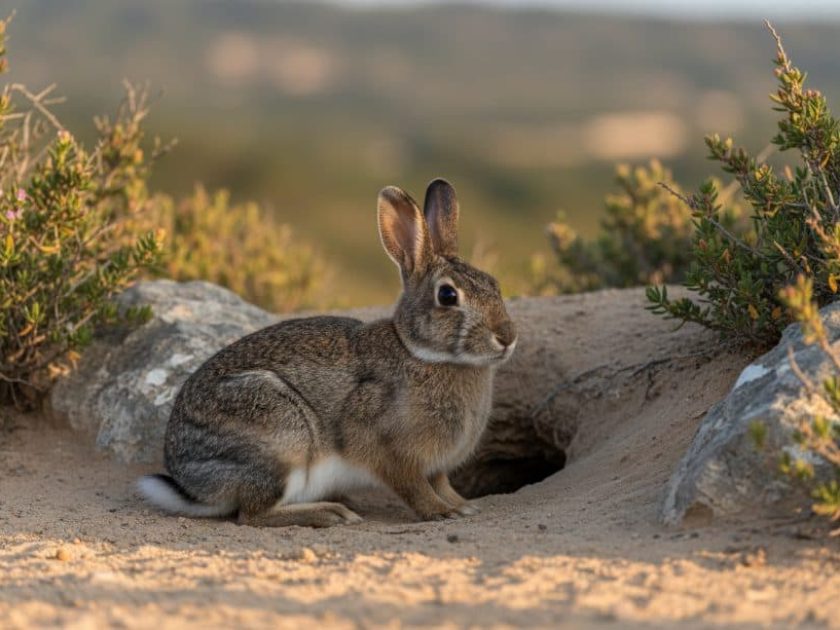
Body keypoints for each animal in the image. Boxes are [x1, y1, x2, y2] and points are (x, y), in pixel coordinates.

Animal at [137, 178, 517, 527]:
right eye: (448, 296)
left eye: (494, 284)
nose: (507, 337)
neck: (423, 354)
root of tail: (190, 485)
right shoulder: (388, 449)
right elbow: (413, 487)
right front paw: (441, 512)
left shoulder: (435, 465)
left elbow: (441, 482)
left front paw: (462, 504)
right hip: (281, 437)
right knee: (252, 514)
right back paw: (330, 513)